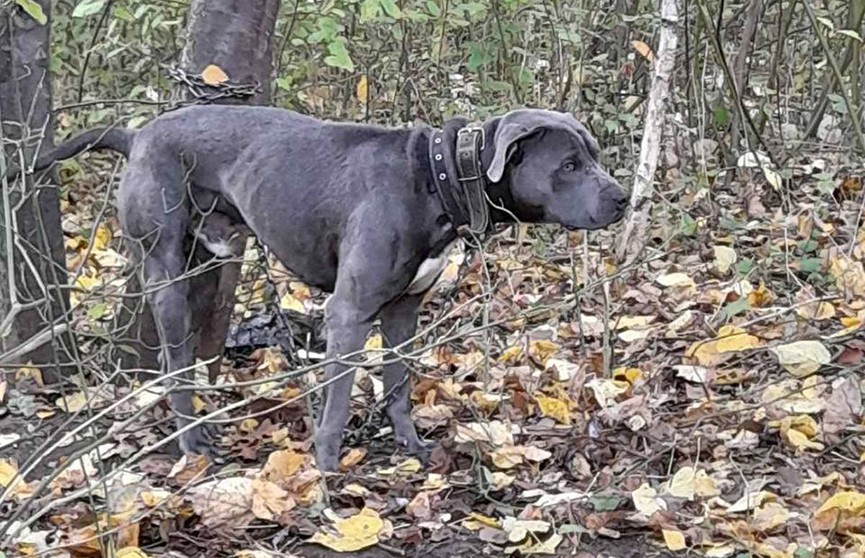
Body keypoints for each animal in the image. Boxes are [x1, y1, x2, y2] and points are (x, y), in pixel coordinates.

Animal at [23, 106, 624, 472]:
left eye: (594, 155)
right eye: (570, 164)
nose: (623, 198)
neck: (439, 178)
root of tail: (138, 133)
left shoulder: (404, 311)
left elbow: (398, 386)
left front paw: (411, 447)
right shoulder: (349, 312)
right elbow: (337, 400)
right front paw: (328, 469)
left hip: (209, 263)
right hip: (165, 270)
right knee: (173, 361)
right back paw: (192, 440)